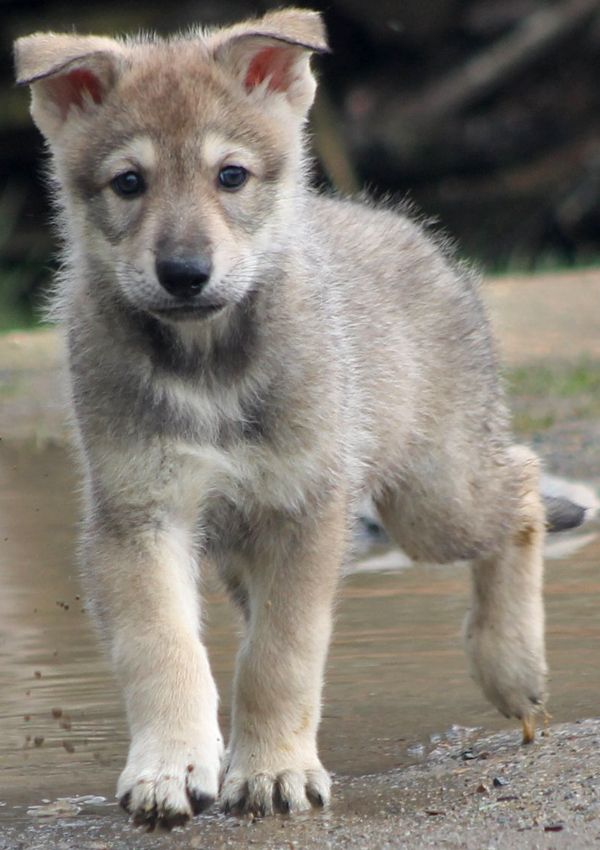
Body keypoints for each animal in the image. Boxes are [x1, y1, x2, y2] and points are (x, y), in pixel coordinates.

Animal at [15, 8, 562, 829]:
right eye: (128, 183)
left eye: (230, 176)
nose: (185, 274)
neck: (207, 366)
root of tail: (405, 226)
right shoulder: (136, 515)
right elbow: (163, 649)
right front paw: (171, 765)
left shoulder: (304, 510)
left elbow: (280, 658)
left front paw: (273, 770)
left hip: (433, 501)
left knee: (525, 484)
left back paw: (512, 667)